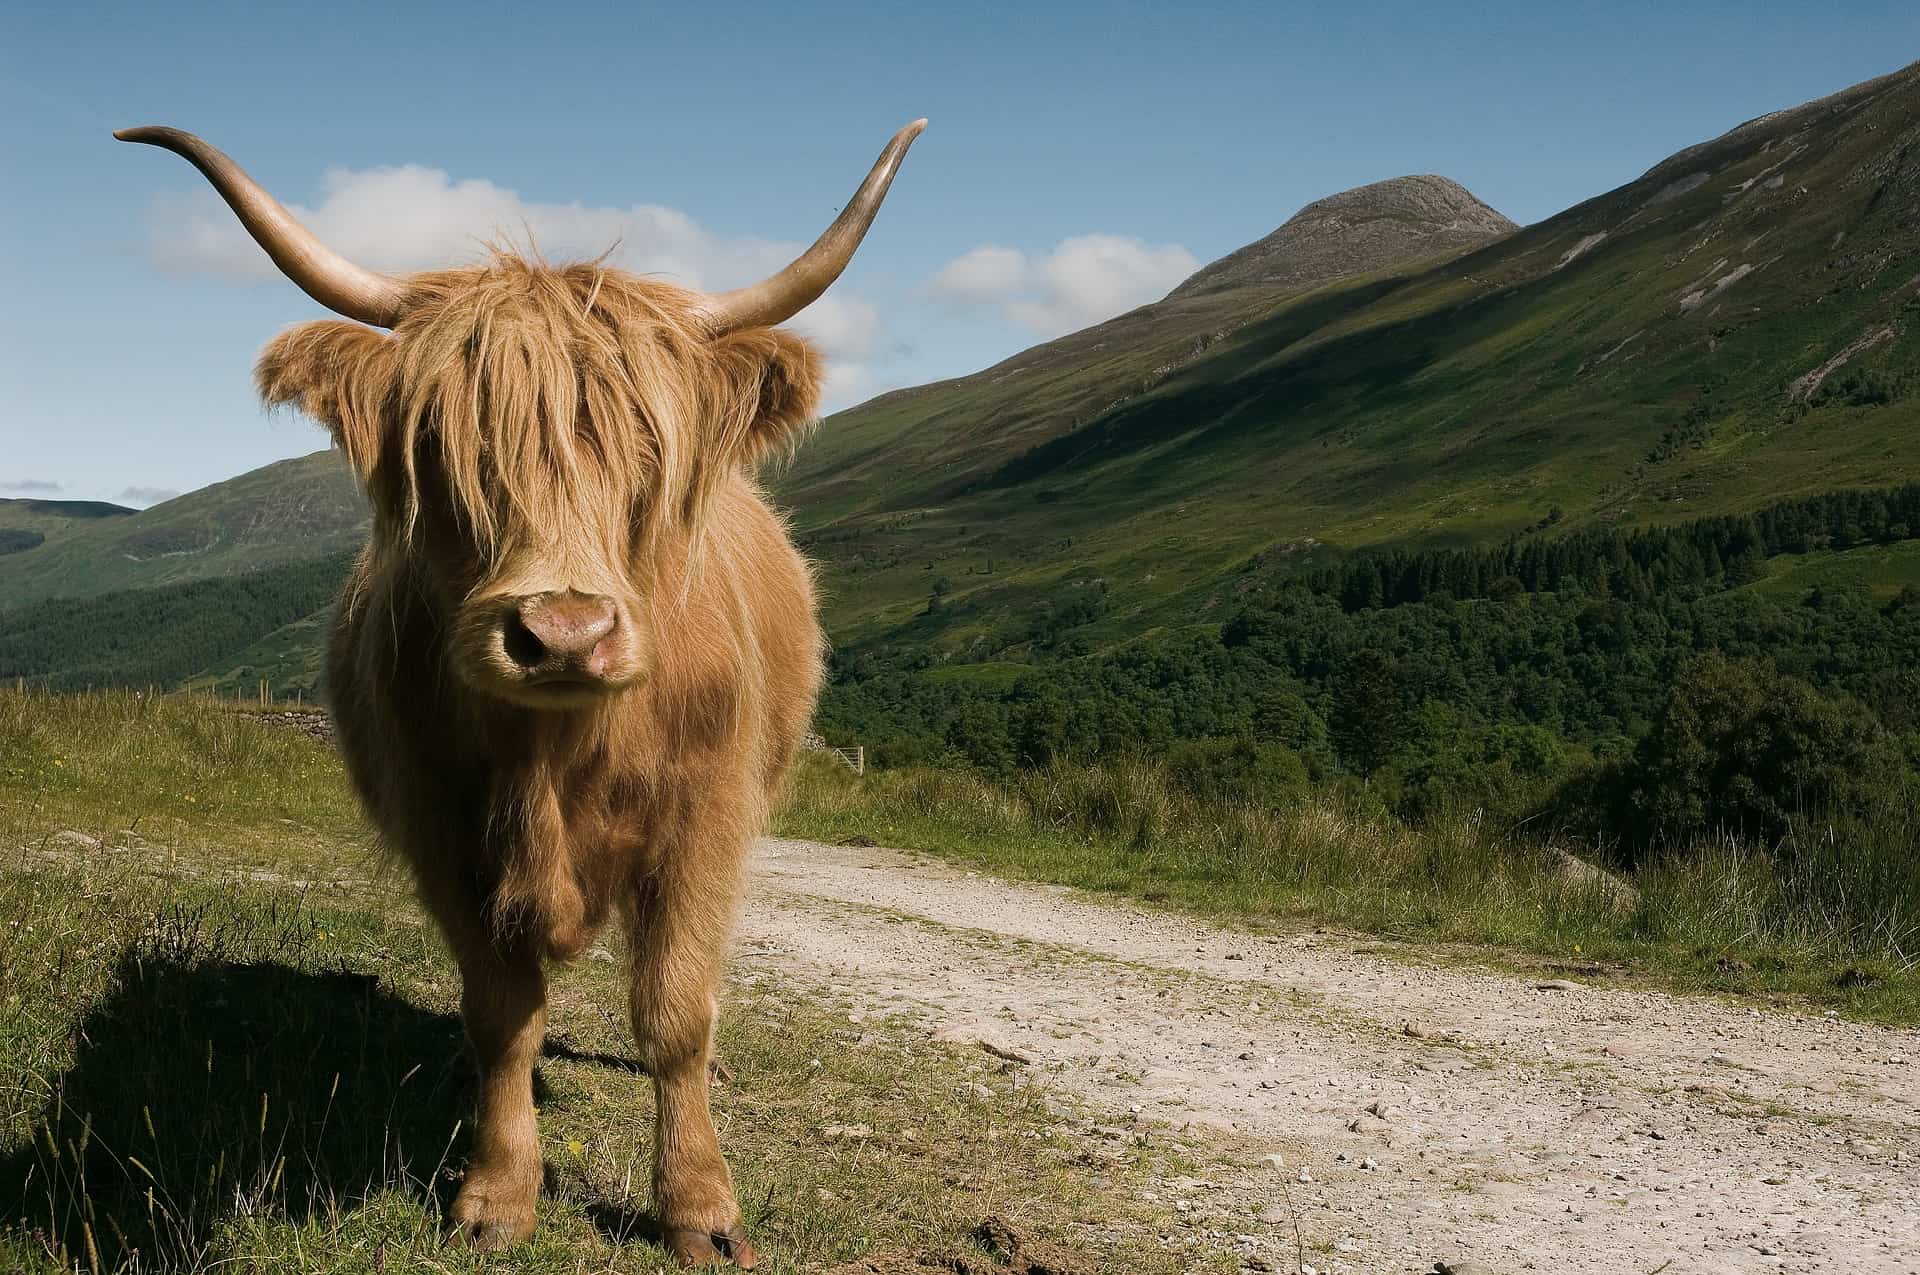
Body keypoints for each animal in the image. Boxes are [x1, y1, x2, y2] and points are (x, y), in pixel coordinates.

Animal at [116, 117, 925, 1267]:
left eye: (651, 454)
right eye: (446, 448)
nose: (563, 635)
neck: (560, 756)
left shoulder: (706, 820)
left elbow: (675, 1011)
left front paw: (700, 1207)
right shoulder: (441, 830)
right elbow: (503, 1014)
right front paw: (497, 1193)